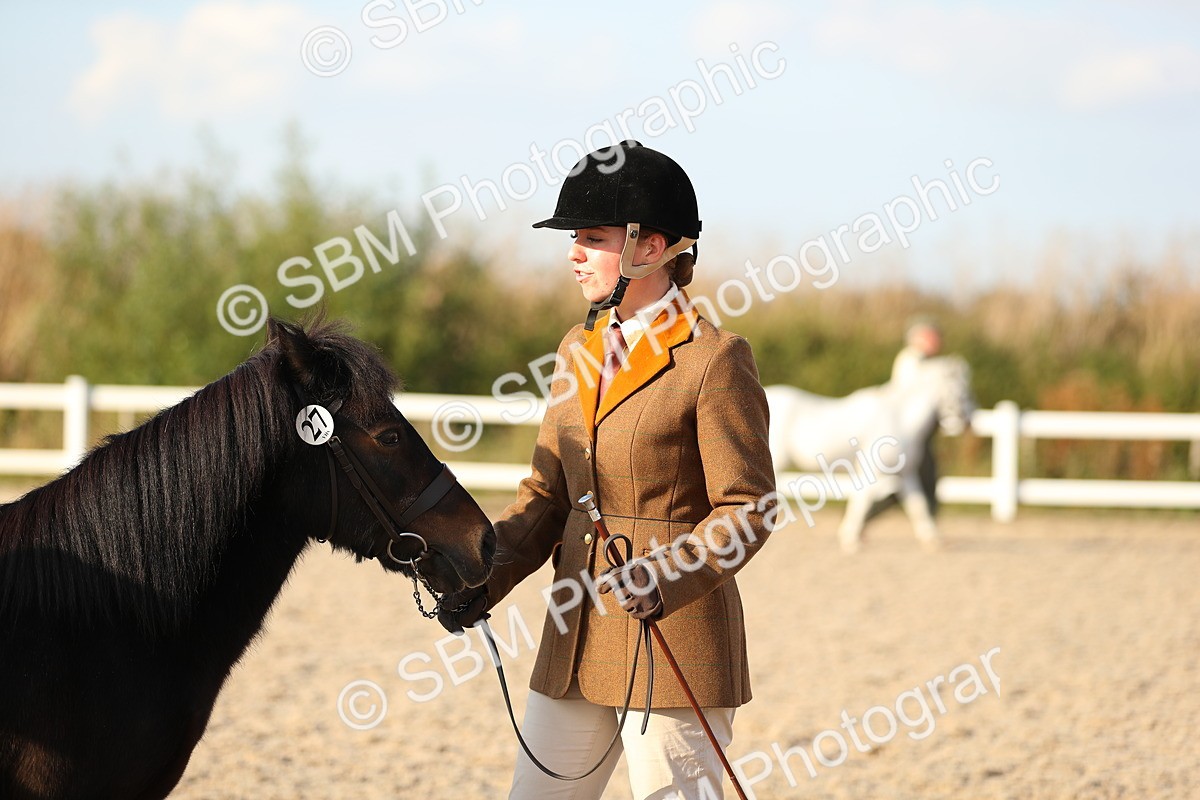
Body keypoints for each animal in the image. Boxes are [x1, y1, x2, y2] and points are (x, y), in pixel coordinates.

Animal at [766, 355, 974, 553]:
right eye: (962, 393)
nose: (968, 423)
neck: (899, 419)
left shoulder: (906, 474)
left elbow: (917, 505)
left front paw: (933, 540)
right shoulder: (872, 473)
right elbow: (862, 502)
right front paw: (851, 540)